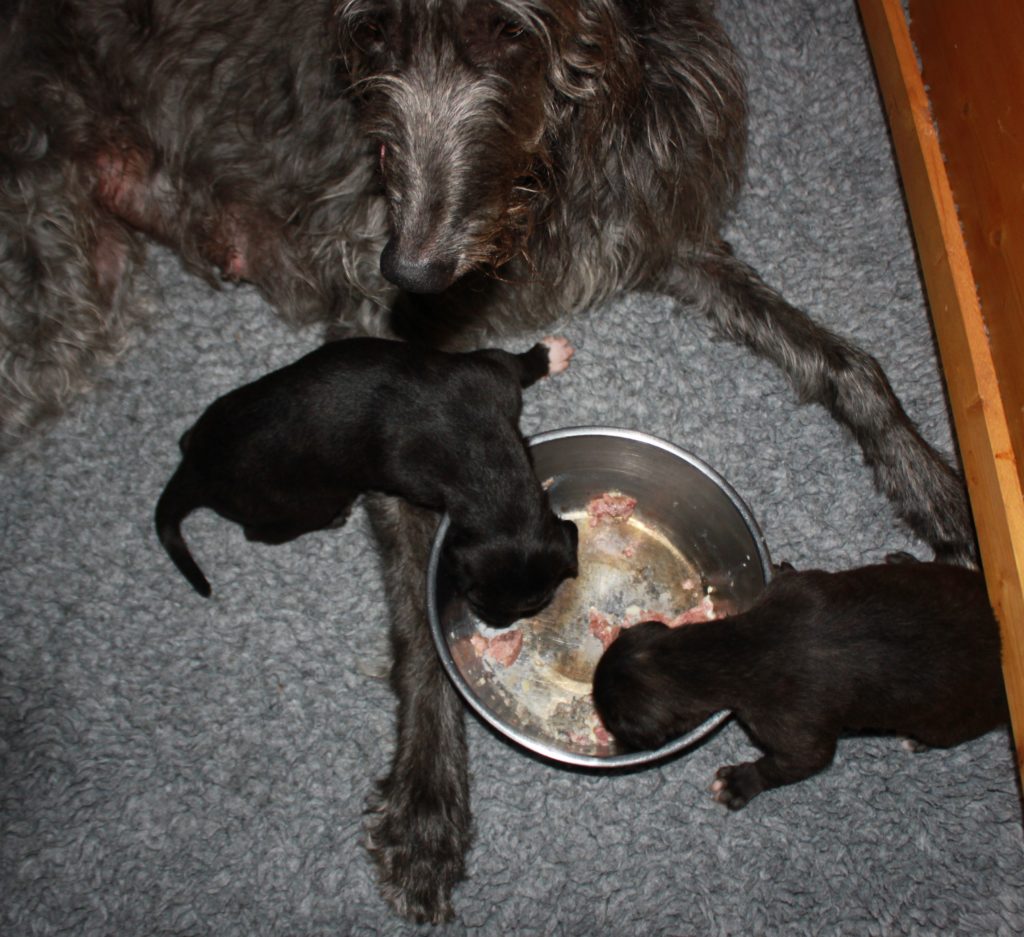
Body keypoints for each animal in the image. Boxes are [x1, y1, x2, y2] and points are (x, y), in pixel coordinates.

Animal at [155, 335, 578, 624]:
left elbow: (515, 364)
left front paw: (547, 355)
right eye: (477, 600)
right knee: (259, 532)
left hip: (219, 411)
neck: (485, 461)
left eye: (534, 603)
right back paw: (335, 517)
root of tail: (198, 470)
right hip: (306, 501)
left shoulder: (491, 372)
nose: (497, 625)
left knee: (186, 438)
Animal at [593, 560, 1008, 809]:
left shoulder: (794, 728)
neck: (737, 649)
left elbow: (793, 762)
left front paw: (741, 781)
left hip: (950, 719)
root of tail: (1002, 649)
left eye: (611, 717)